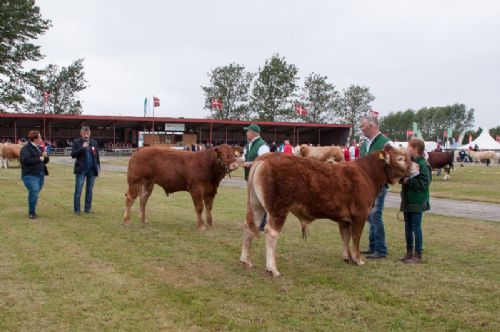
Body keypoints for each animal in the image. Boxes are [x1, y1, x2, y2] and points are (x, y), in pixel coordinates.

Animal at [239, 145, 414, 278]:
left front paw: (347, 258)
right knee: (271, 232)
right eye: (400, 158)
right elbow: (356, 238)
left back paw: (245, 260)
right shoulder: (360, 214)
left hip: (256, 204)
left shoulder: (344, 220)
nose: (416, 166)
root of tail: (266, 157)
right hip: (278, 207)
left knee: (249, 225)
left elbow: (345, 237)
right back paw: (272, 269)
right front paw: (358, 260)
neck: (368, 174)